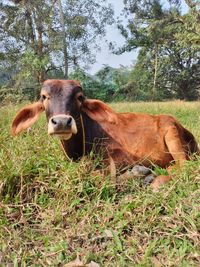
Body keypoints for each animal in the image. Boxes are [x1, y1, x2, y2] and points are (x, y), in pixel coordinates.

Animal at [12, 79, 198, 191]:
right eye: (44, 96)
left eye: (79, 97)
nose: (62, 122)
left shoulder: (123, 157)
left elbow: (99, 174)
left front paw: (140, 174)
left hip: (172, 133)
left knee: (184, 165)